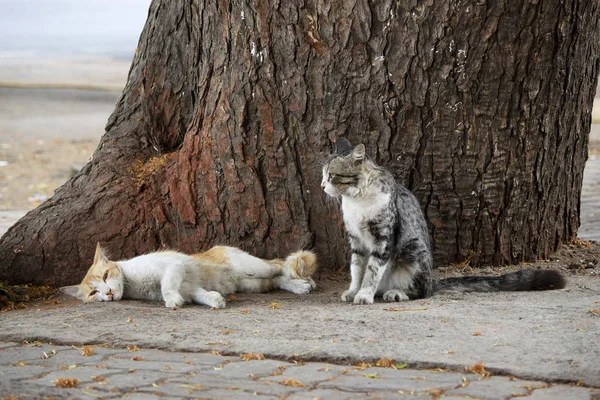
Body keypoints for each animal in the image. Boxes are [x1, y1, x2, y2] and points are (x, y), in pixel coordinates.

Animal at [62, 244, 318, 310]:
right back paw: (299, 286)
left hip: (255, 268)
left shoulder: (173, 268)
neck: (131, 281)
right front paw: (215, 300)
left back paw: (306, 281)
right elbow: (201, 295)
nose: (107, 292)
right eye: (93, 292)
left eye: (106, 275)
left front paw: (171, 301)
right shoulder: (190, 288)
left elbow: (167, 286)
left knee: (280, 265)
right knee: (277, 279)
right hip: (252, 284)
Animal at [322, 138, 564, 304]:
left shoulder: (383, 238)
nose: (322, 185)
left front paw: (364, 294)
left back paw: (397, 293)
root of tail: (433, 281)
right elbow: (357, 268)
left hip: (413, 254)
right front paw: (354, 290)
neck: (357, 201)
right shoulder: (355, 239)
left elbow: (372, 270)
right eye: (323, 175)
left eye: (332, 175)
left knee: (421, 292)